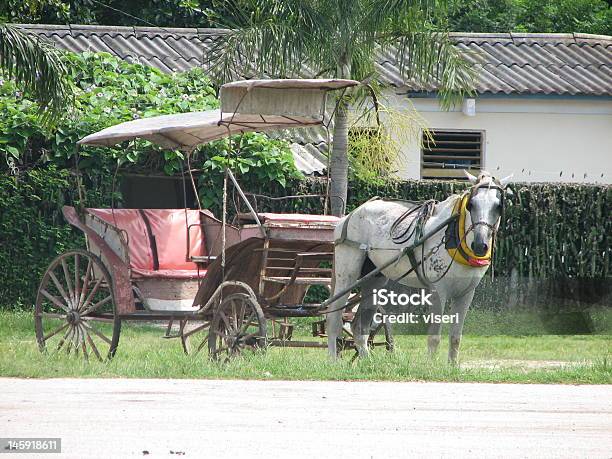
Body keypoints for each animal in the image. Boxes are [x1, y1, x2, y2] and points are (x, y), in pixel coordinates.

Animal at [330, 171, 512, 364]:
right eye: (471, 205)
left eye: (498, 206)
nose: (479, 245)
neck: (453, 235)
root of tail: (350, 215)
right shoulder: (438, 291)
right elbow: (434, 337)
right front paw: (431, 366)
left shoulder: (466, 294)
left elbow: (456, 337)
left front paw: (452, 366)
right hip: (347, 275)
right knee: (333, 317)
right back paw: (333, 361)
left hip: (374, 279)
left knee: (359, 327)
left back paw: (368, 363)